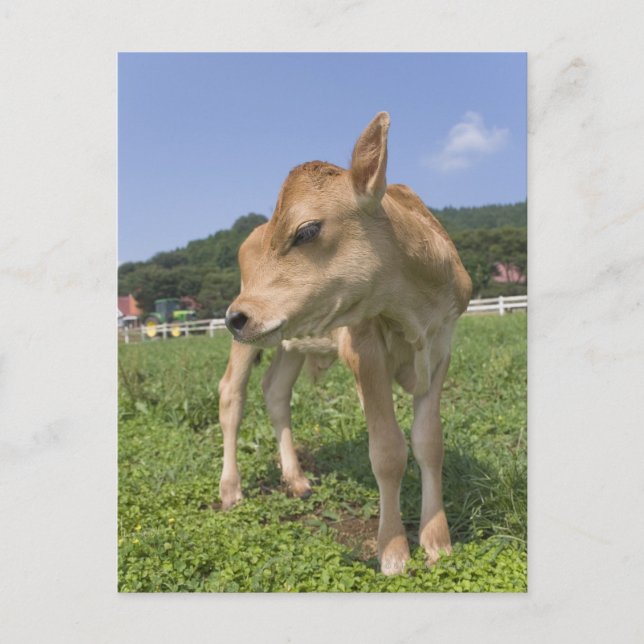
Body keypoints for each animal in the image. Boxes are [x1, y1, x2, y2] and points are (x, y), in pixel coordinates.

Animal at [224, 112, 472, 575]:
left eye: (306, 230)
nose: (234, 317)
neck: (414, 308)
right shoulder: (364, 350)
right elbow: (388, 451)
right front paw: (394, 551)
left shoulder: (442, 346)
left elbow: (430, 443)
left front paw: (437, 541)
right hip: (251, 334)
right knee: (232, 394)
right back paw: (230, 489)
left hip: (289, 339)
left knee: (275, 392)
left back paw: (297, 479)